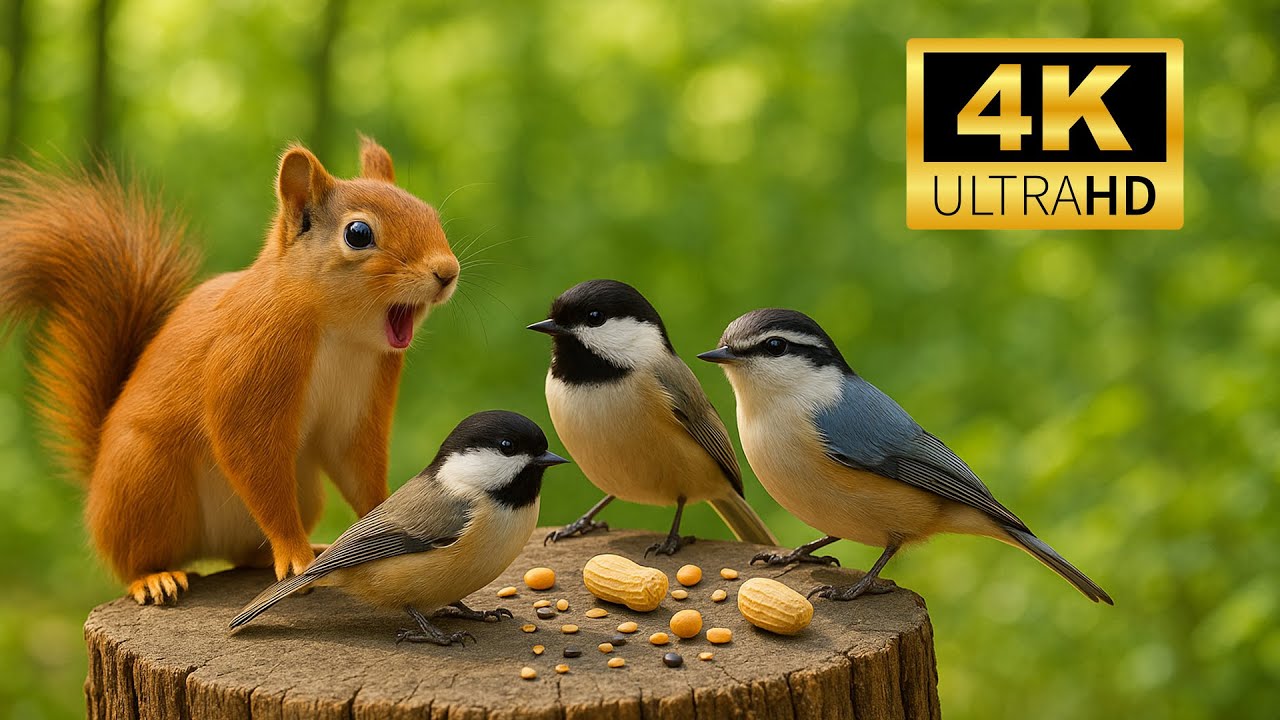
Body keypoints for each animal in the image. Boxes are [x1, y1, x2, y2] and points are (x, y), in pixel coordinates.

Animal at [0, 136, 460, 605]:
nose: (448, 271)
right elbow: (249, 453)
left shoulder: (361, 402)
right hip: (143, 480)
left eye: (429, 213)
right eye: (358, 234)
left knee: (246, 554)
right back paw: (155, 577)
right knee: (133, 558)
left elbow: (356, 465)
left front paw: (390, 519)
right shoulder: (248, 364)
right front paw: (296, 556)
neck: (337, 330)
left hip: (303, 490)